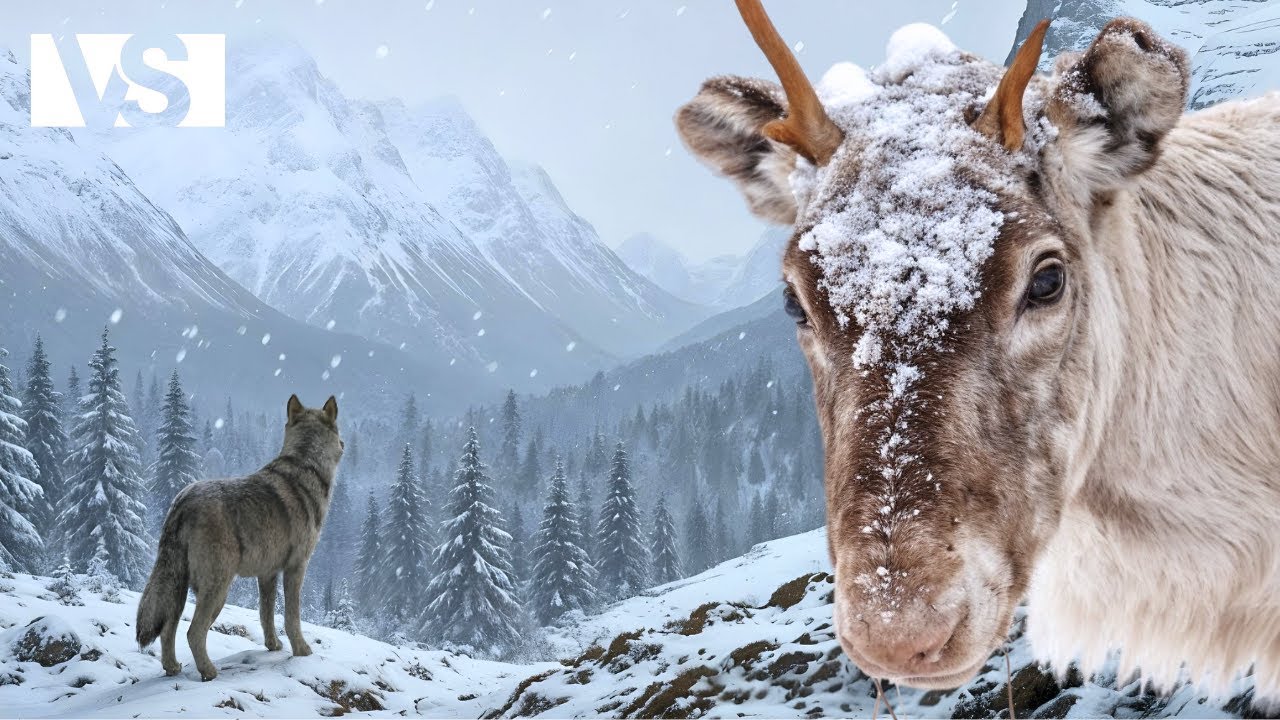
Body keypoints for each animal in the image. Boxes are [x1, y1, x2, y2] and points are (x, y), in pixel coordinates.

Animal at [136, 395, 343, 681]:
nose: (344, 444)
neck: (306, 465)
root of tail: (183, 501)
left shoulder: (267, 574)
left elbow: (266, 613)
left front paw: (273, 646)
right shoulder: (296, 567)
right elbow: (292, 616)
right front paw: (302, 651)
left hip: (180, 587)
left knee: (169, 629)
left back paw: (173, 668)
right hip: (219, 589)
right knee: (193, 632)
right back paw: (209, 672)